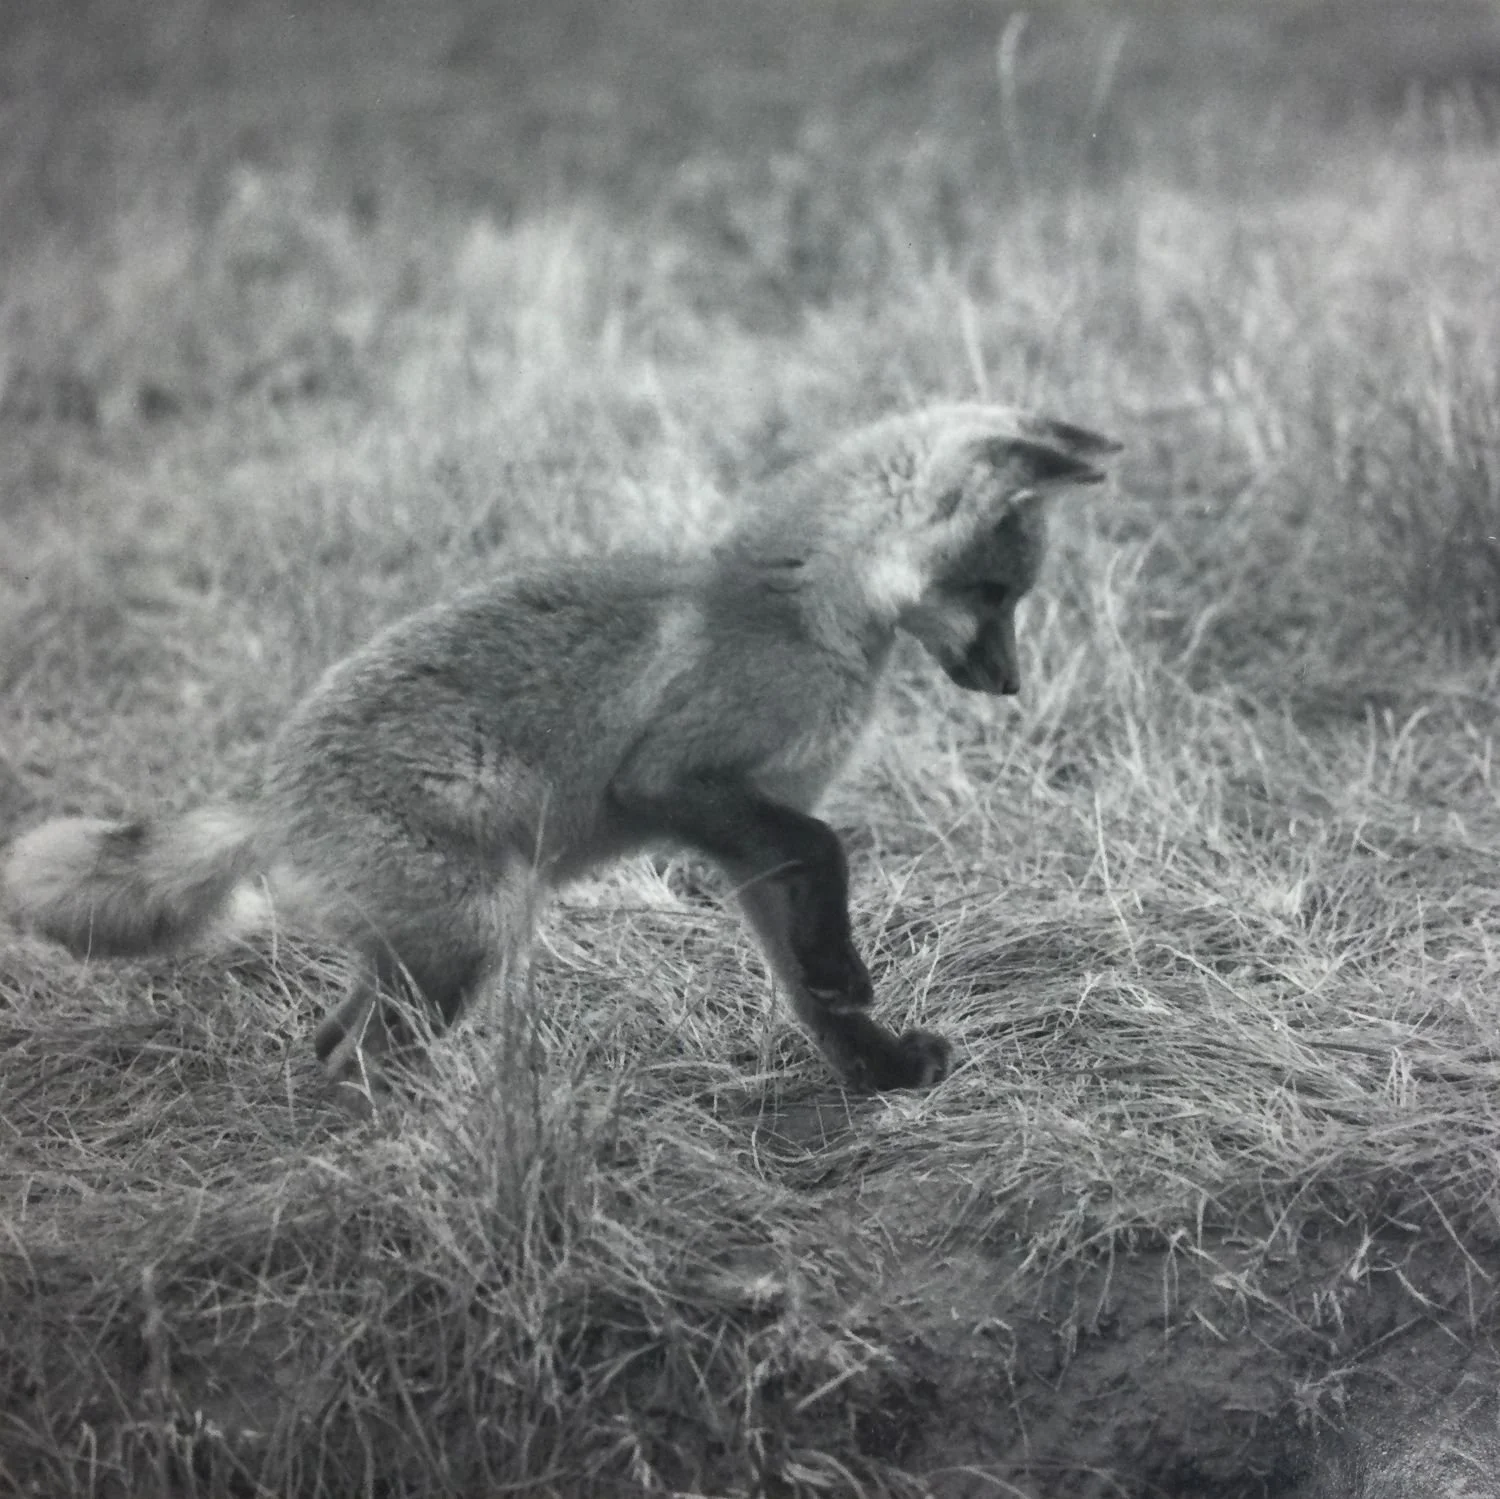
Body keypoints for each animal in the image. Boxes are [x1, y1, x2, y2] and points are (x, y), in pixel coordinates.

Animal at [2, 404, 1119, 1093]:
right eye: (995, 593)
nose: (1012, 685)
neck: (810, 609)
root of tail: (267, 792)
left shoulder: (751, 846)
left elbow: (808, 989)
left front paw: (872, 1069)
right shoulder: (676, 778)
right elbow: (830, 850)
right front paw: (854, 987)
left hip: (422, 950)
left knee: (329, 1040)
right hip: (476, 934)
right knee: (355, 1060)